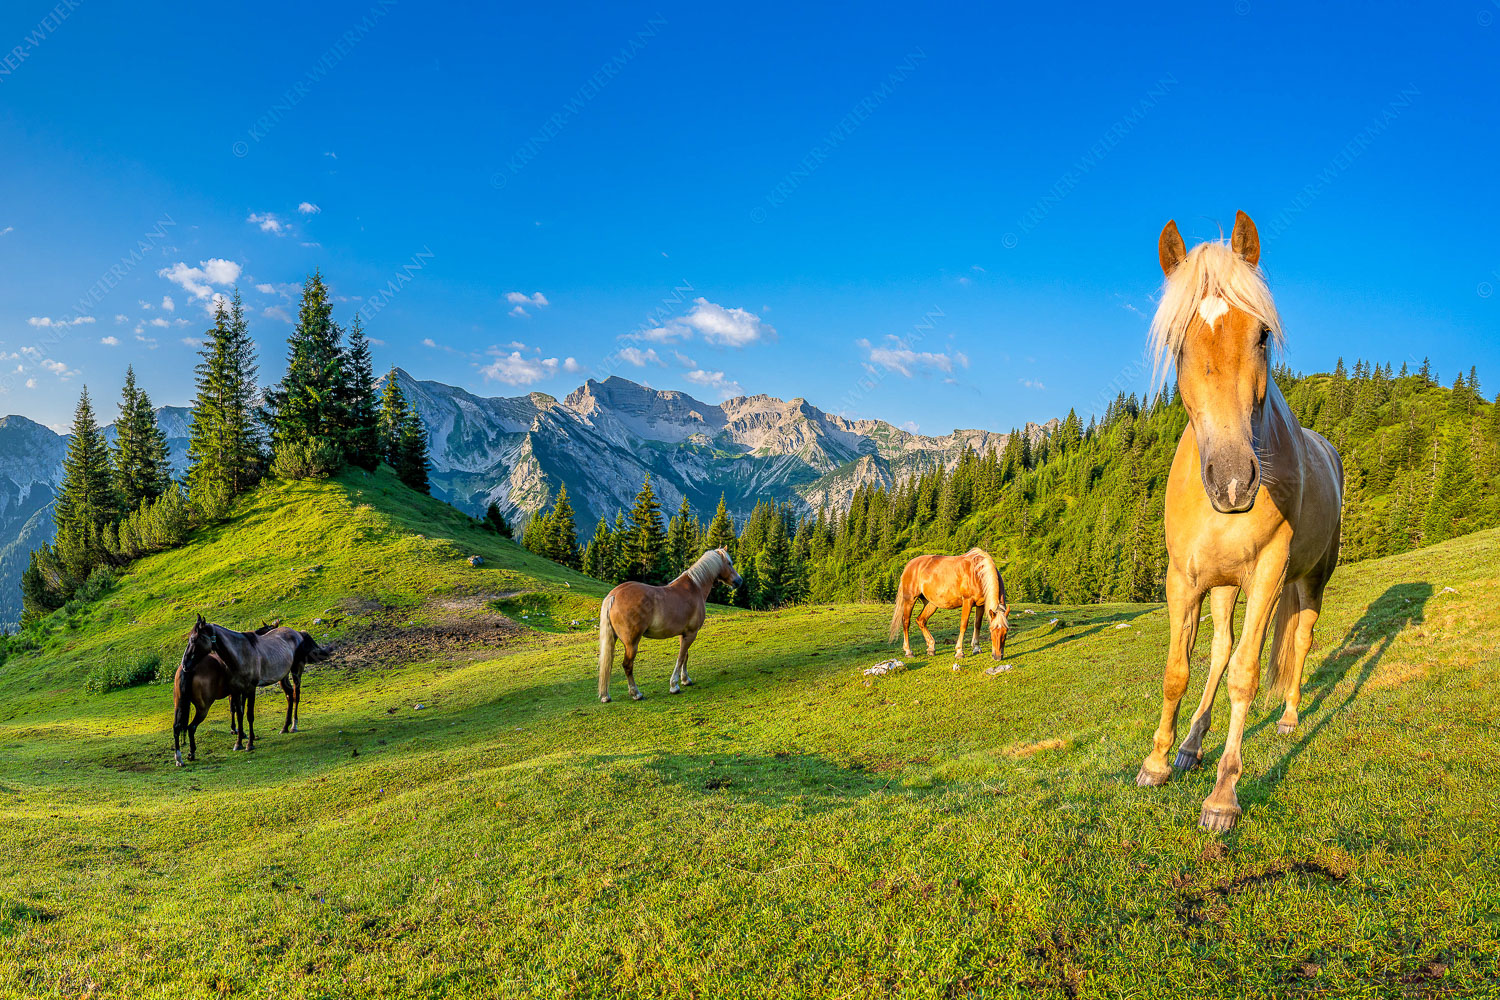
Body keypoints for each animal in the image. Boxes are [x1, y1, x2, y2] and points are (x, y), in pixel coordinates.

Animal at [177, 617, 331, 749]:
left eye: (194, 639)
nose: (185, 664)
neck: (240, 655)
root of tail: (298, 633)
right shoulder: (236, 690)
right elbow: (239, 714)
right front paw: (238, 742)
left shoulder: (250, 689)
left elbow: (249, 715)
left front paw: (249, 743)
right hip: (283, 676)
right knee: (289, 696)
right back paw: (284, 727)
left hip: (296, 671)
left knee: (295, 695)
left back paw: (294, 725)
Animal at [594, 548, 741, 704]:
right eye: (729, 563)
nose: (739, 580)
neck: (695, 588)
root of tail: (614, 595)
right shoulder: (691, 633)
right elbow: (681, 657)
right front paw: (674, 685)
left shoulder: (684, 634)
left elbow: (685, 656)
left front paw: (685, 680)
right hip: (631, 644)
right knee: (627, 666)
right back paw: (636, 693)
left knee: (608, 665)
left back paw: (606, 695)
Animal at [1134, 212, 1350, 839]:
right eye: (1178, 343)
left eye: (1262, 336)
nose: (1233, 482)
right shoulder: (1183, 579)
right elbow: (1180, 670)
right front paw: (1159, 760)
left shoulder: (1269, 575)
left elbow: (1246, 676)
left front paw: (1224, 796)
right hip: (1224, 585)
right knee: (1221, 649)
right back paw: (1190, 744)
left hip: (1307, 580)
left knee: (1298, 640)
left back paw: (1290, 717)